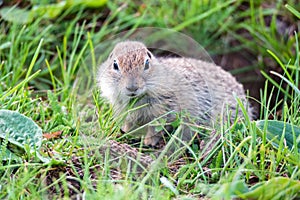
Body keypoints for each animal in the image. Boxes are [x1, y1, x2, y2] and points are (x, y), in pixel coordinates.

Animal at [97, 41, 252, 147]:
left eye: (147, 63)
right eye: (115, 65)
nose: (132, 87)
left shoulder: (164, 112)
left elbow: (155, 129)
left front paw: (148, 142)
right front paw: (125, 132)